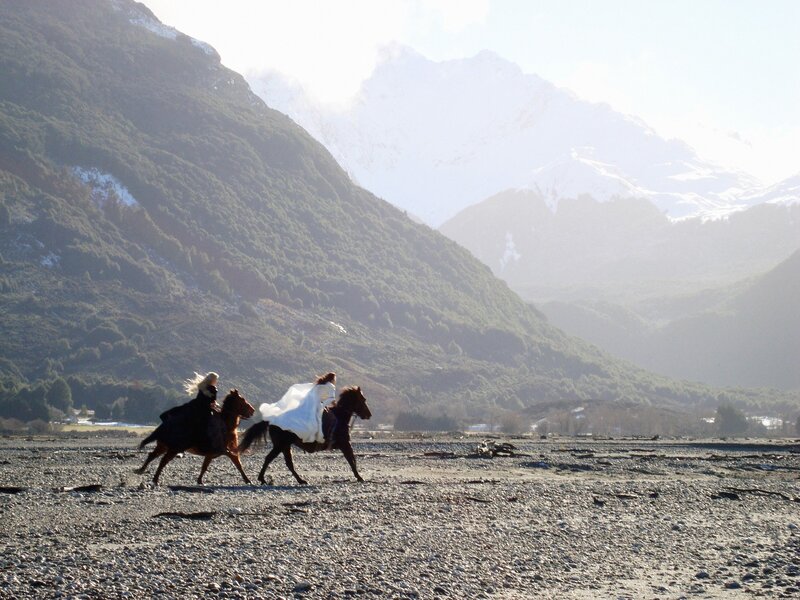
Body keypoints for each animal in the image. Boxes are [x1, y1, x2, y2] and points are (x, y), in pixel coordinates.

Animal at [238, 386, 372, 485]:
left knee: (288, 463)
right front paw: (359, 477)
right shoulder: (345, 444)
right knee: (271, 459)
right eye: (363, 399)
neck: (340, 417)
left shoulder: (345, 445)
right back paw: (264, 479)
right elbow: (351, 460)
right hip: (281, 445)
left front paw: (359, 476)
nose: (369, 415)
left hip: (285, 446)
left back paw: (299, 480)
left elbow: (352, 459)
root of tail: (271, 420)